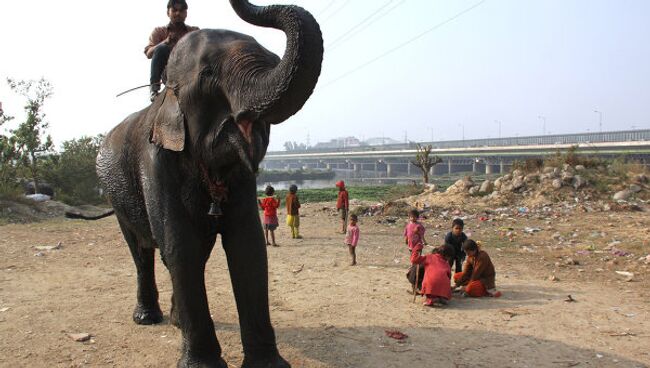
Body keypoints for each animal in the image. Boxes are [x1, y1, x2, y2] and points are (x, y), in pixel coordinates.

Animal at [93, 1, 322, 366]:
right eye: (209, 74)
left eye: (273, 59)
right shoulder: (155, 162)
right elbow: (179, 244)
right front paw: (202, 364)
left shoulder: (241, 175)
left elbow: (247, 245)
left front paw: (268, 364)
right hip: (116, 196)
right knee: (142, 251)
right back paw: (147, 318)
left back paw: (175, 321)